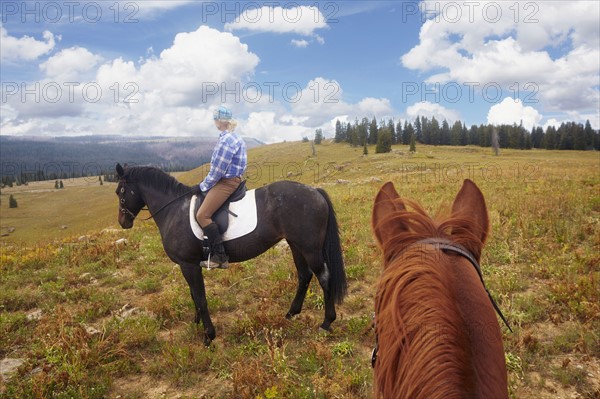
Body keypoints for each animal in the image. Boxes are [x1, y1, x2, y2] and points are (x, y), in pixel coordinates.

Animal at [115, 164, 346, 346]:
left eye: (120, 191)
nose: (123, 222)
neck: (174, 210)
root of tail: (315, 191)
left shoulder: (188, 264)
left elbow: (200, 297)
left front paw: (208, 336)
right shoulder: (189, 265)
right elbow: (194, 294)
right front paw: (196, 323)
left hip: (310, 248)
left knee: (323, 278)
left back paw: (326, 322)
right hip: (295, 244)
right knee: (304, 275)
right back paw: (291, 313)